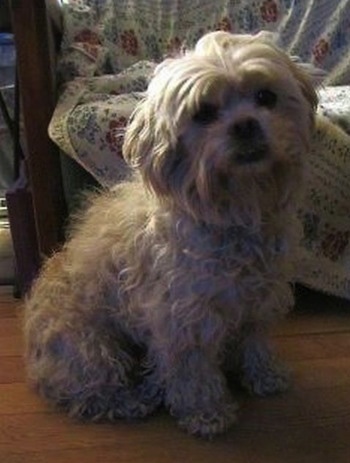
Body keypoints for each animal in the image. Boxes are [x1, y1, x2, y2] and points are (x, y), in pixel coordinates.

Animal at [23, 31, 320, 438]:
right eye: (203, 113)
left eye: (266, 97)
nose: (245, 124)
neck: (234, 209)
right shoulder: (184, 321)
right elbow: (193, 374)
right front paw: (206, 413)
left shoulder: (258, 301)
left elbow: (254, 343)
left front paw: (265, 375)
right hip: (91, 348)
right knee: (92, 394)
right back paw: (135, 399)